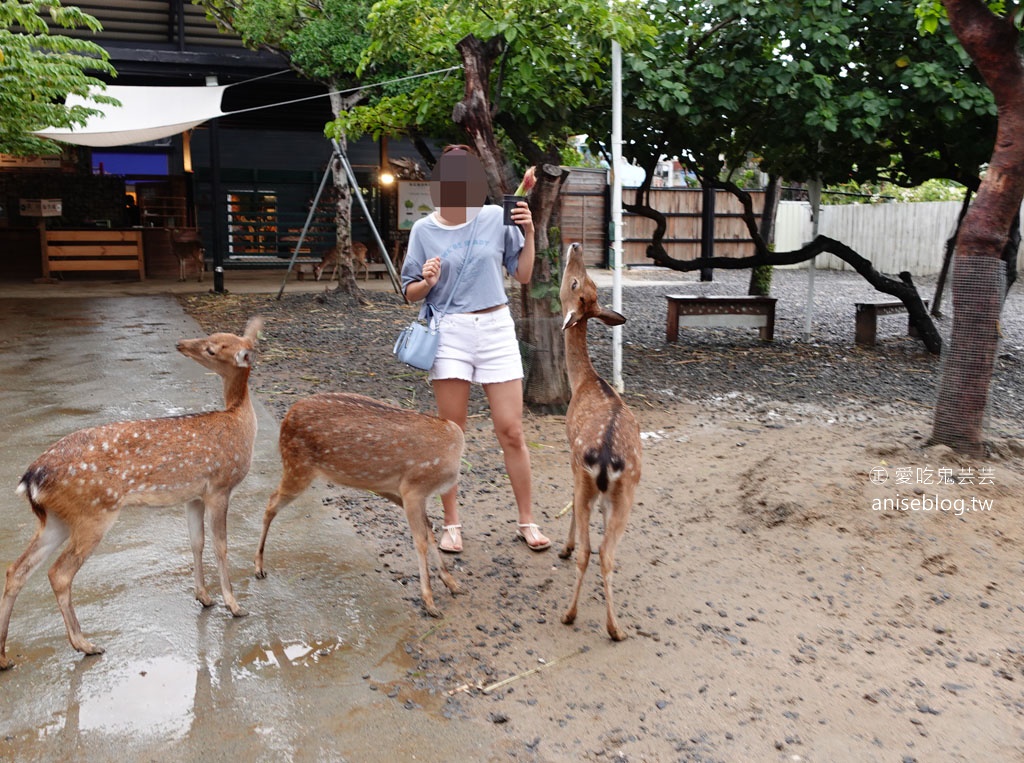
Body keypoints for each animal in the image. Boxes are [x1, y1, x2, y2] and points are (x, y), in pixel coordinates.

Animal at [1, 315, 264, 667]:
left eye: (212, 345)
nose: (181, 344)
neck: (239, 422)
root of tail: (31, 478)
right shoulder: (220, 487)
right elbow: (221, 546)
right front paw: (234, 605)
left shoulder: (195, 495)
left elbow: (196, 542)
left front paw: (204, 597)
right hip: (93, 512)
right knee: (58, 573)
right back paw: (85, 644)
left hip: (54, 519)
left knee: (16, 569)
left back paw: (4, 656)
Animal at [256, 389, 464, 614]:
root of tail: (287, 417)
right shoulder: (414, 490)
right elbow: (421, 541)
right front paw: (430, 602)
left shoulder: (417, 495)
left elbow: (429, 531)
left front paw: (451, 583)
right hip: (297, 467)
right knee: (270, 502)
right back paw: (258, 567)